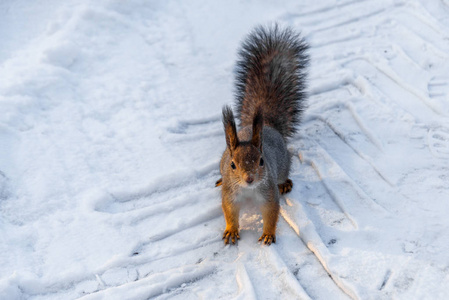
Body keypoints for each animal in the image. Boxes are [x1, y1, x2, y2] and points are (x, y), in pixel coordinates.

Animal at [214, 25, 306, 246]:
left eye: (262, 161)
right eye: (233, 165)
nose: (249, 178)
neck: (248, 191)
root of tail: (269, 127)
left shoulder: (269, 194)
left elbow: (271, 214)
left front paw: (268, 234)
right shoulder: (230, 196)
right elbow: (230, 213)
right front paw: (231, 231)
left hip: (283, 164)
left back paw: (286, 183)